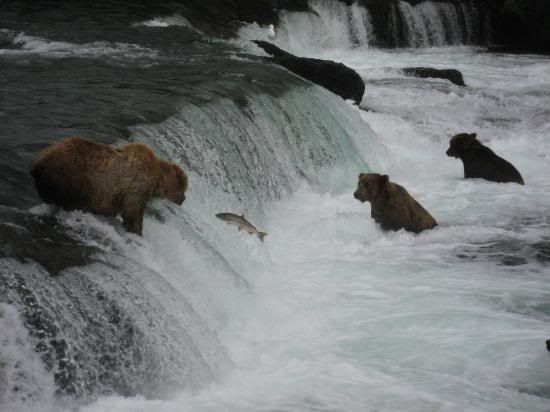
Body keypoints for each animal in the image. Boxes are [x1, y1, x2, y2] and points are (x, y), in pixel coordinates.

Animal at [30, 138, 190, 237]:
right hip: (70, 177)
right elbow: (133, 213)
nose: (184, 199)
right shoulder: (136, 187)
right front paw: (136, 232)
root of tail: (37, 161)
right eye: (184, 189)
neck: (156, 180)